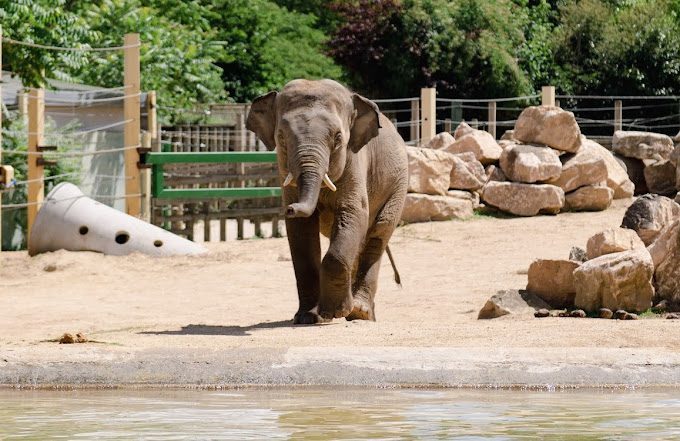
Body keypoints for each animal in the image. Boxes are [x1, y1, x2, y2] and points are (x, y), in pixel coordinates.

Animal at [248, 79, 410, 322]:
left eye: (338, 138)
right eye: (281, 138)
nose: (290, 208)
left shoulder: (355, 159)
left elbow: (354, 213)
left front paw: (333, 312)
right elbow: (301, 232)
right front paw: (306, 318)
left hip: (398, 185)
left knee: (378, 234)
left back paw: (359, 313)